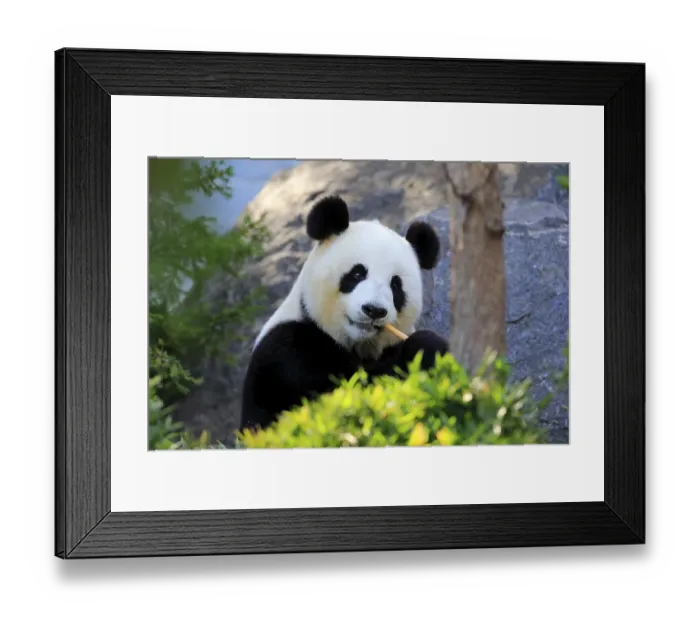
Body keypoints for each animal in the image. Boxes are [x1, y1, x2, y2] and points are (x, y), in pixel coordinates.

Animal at [239, 195, 449, 432]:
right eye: (357, 273)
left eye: (396, 285)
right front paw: (425, 347)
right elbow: (350, 393)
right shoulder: (288, 352)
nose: (374, 310)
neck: (358, 343)